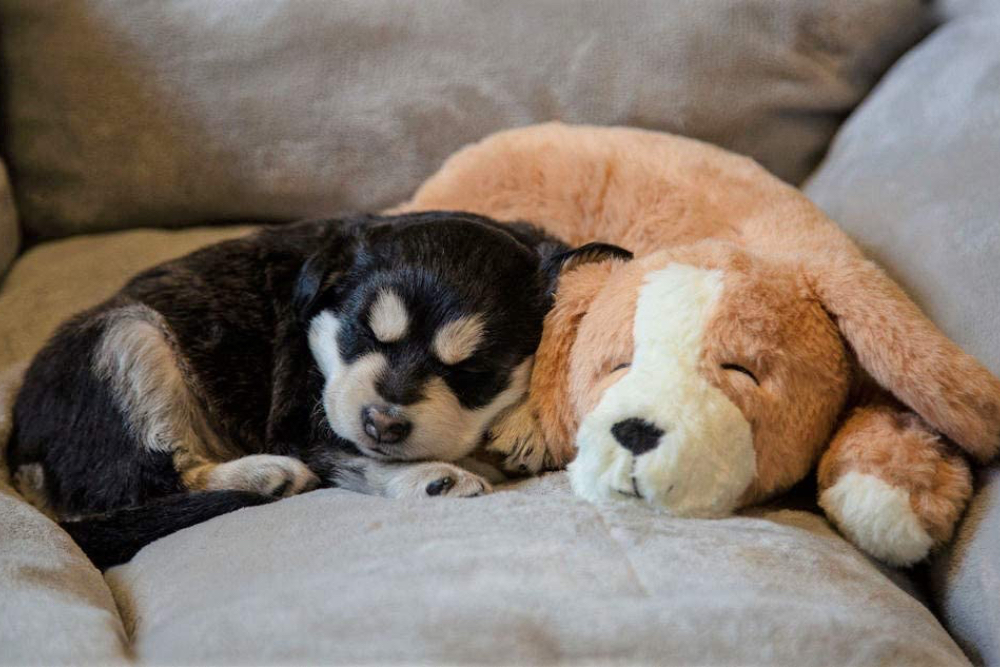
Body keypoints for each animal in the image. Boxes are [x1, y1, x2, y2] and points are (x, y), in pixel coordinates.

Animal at [7, 211, 564, 568]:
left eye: (474, 372)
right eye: (360, 335)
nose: (382, 423)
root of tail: (19, 451)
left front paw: (525, 427)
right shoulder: (302, 425)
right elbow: (359, 458)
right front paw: (430, 477)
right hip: (129, 336)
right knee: (148, 485)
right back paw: (266, 476)